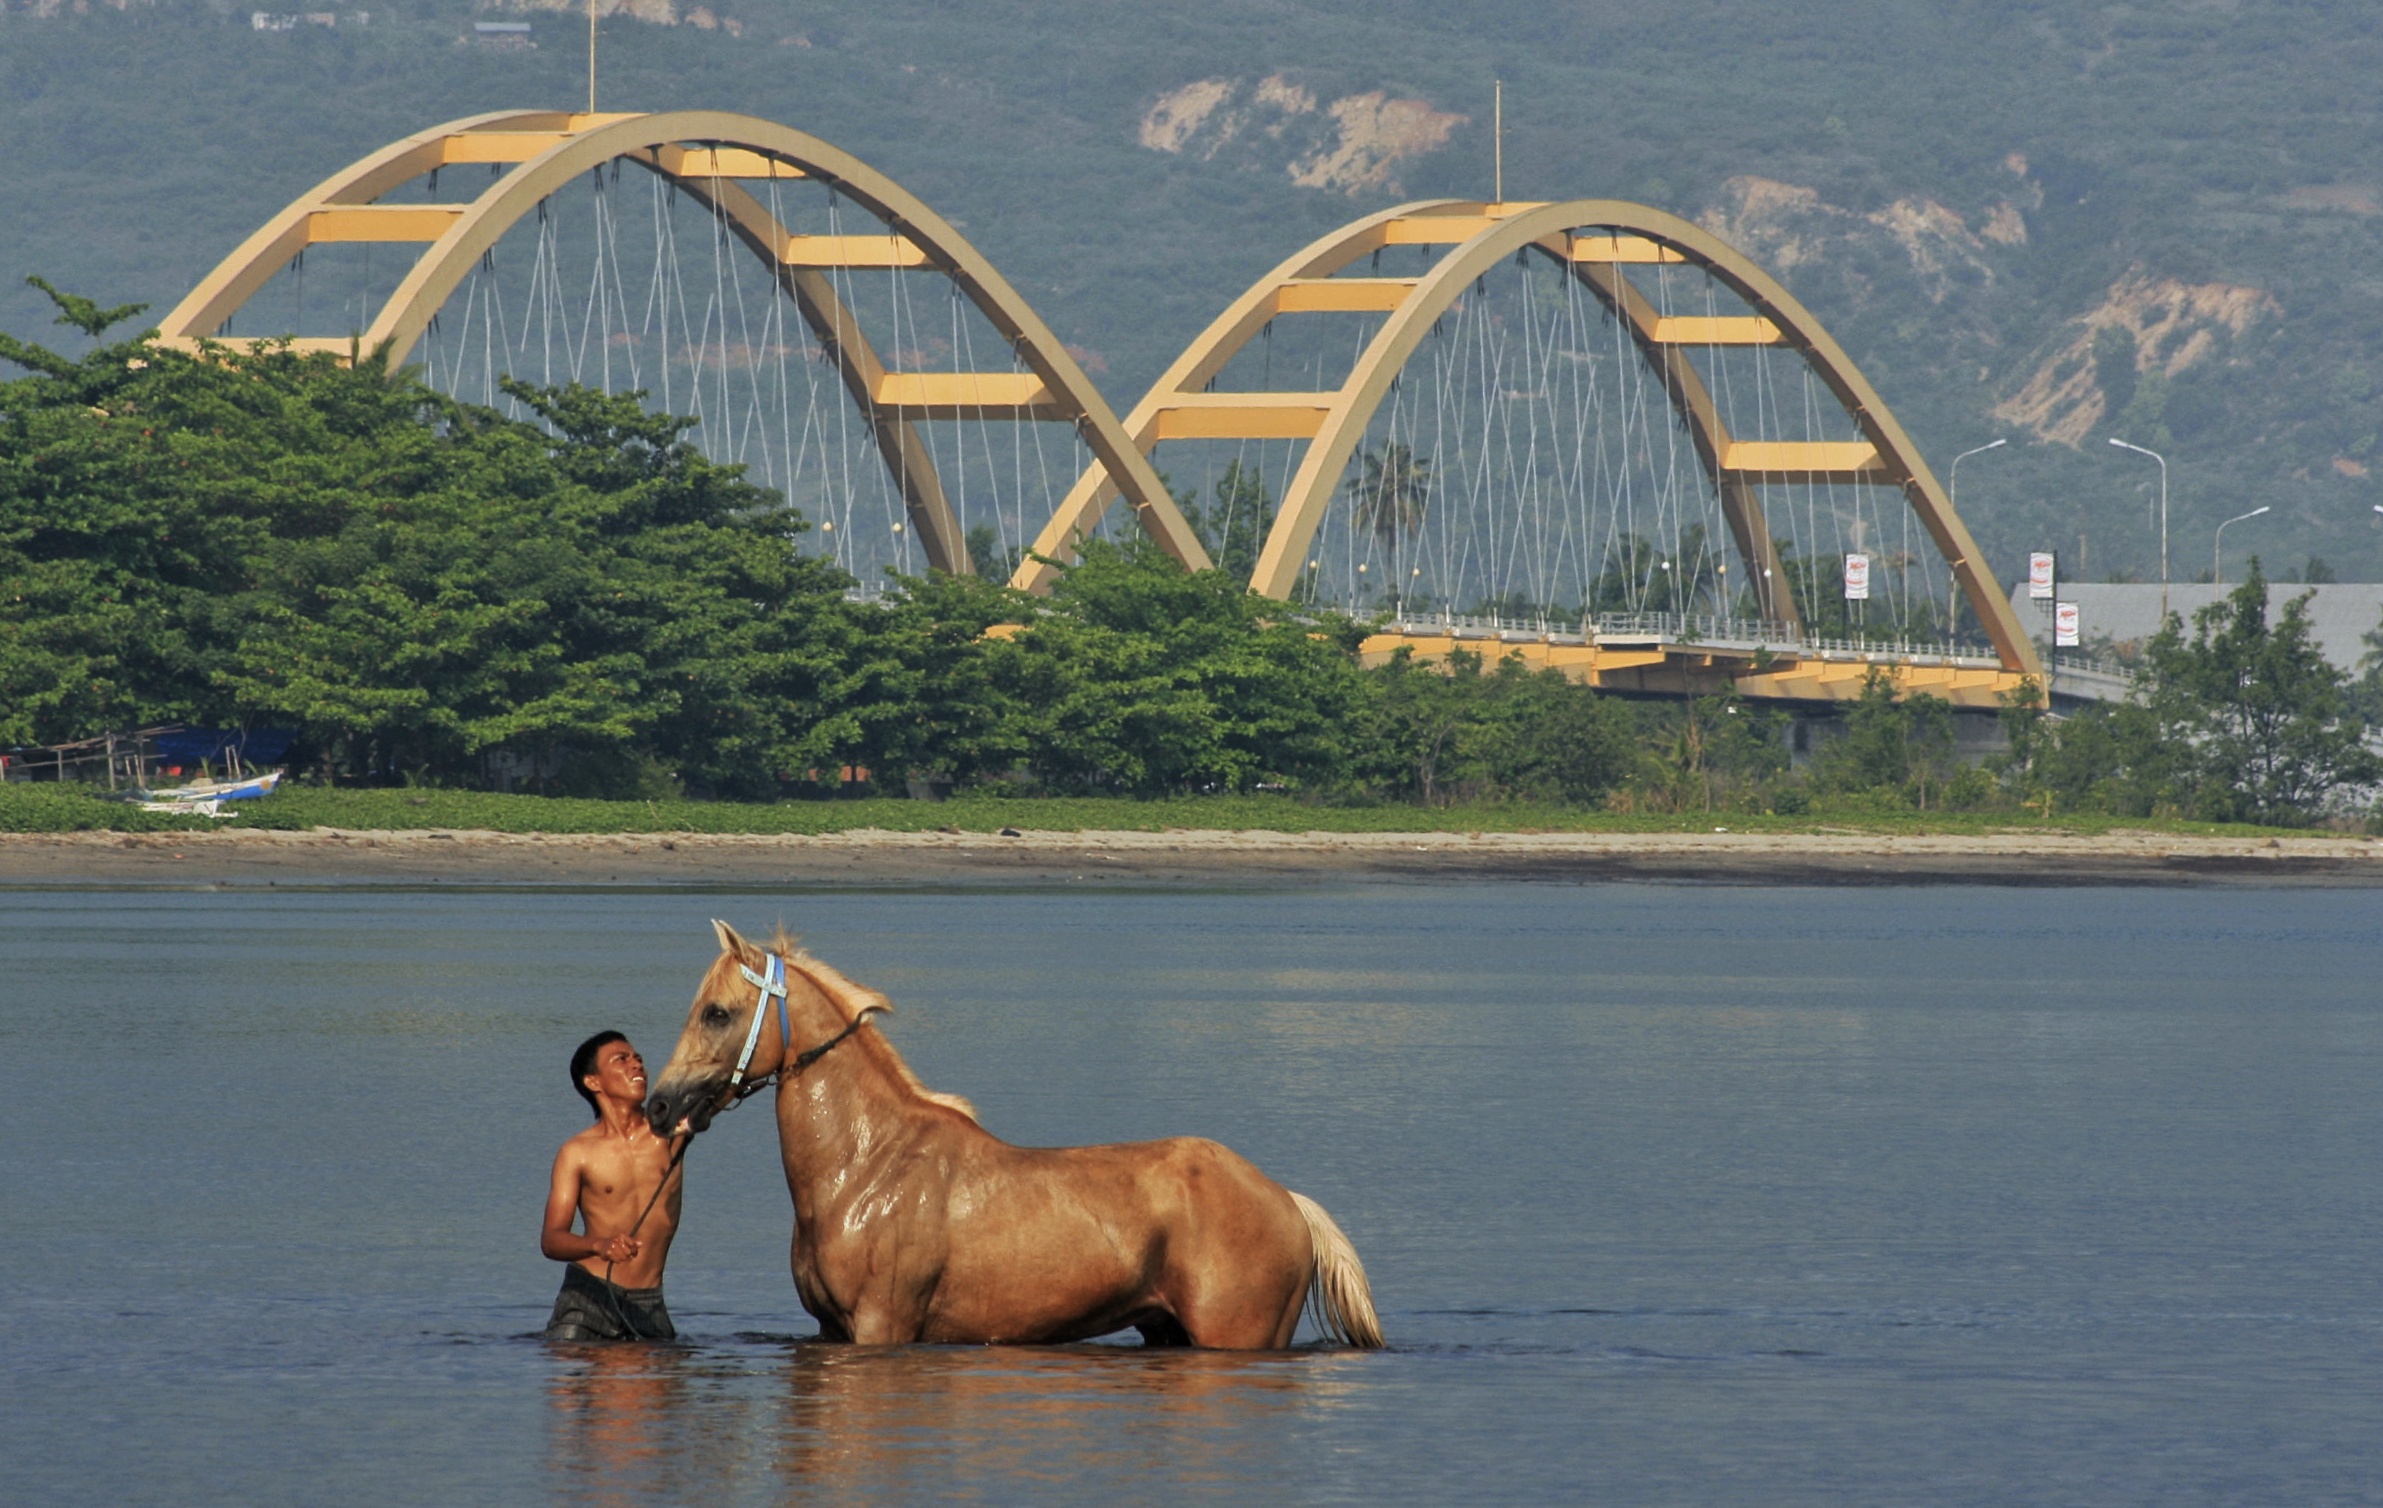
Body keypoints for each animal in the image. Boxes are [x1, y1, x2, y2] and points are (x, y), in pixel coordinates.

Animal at [643, 919, 1391, 1353]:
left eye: (716, 1013)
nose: (659, 1104)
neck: (867, 1169)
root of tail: (1287, 1200)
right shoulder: (830, 1327)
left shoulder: (881, 1324)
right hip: (1165, 1330)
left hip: (1236, 1334)